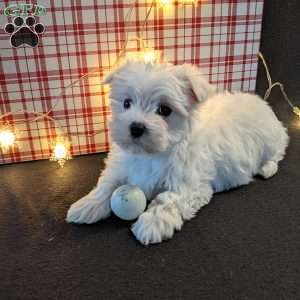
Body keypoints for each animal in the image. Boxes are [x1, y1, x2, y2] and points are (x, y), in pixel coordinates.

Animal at [67, 59, 288, 245]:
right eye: (127, 103)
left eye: (164, 110)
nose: (136, 127)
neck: (151, 154)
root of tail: (262, 103)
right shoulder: (121, 165)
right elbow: (106, 185)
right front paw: (86, 205)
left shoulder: (190, 183)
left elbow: (169, 199)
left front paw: (152, 223)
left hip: (271, 141)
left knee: (277, 155)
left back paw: (267, 168)